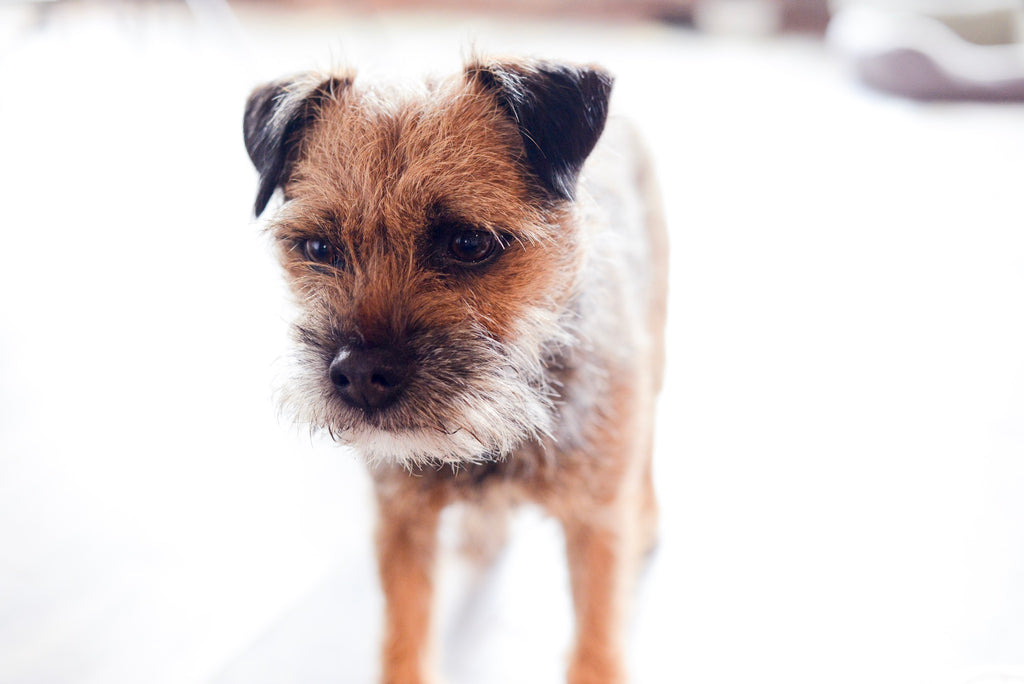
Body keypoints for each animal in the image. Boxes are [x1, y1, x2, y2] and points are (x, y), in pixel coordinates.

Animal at [243, 57, 667, 684]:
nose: (359, 374)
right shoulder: (401, 526)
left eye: (469, 242)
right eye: (318, 247)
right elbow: (405, 639)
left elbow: (596, 647)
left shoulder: (596, 534)